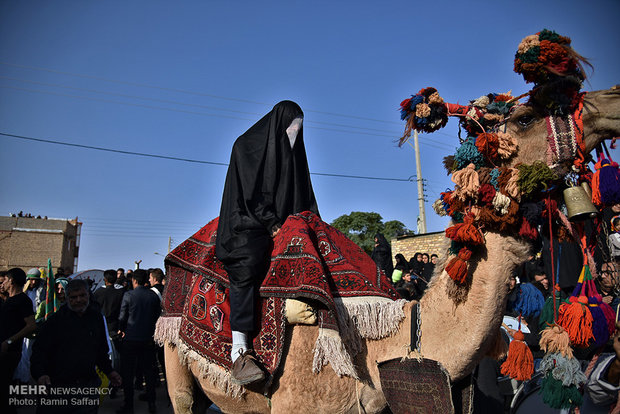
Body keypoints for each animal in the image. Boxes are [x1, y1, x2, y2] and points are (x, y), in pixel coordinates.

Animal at [161, 38, 620, 414]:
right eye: (526, 117)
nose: (612, 100)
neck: (376, 343)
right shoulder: (296, 402)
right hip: (174, 359)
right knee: (183, 397)